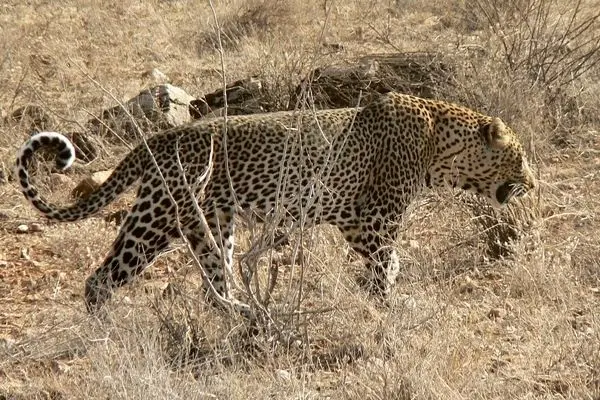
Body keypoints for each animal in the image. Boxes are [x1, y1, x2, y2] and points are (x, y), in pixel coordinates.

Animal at [15, 92, 536, 314]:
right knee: (101, 278)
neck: (439, 147)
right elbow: (386, 264)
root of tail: (159, 138)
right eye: (519, 155)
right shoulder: (375, 218)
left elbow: (388, 264)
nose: (533, 182)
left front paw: (381, 299)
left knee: (215, 282)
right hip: (156, 217)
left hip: (211, 224)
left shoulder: (357, 222)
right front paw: (387, 308)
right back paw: (105, 331)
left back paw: (241, 317)